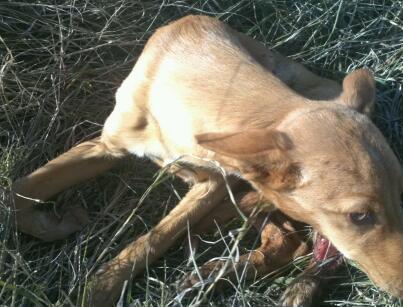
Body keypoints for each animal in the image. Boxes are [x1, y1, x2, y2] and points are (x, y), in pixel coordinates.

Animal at [10, 14, 403, 306]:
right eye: (359, 216)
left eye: (398, 199)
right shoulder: (108, 145)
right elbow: (18, 193)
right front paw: (54, 226)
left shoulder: (211, 184)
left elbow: (153, 238)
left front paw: (101, 288)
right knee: (290, 243)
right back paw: (217, 275)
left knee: (300, 246)